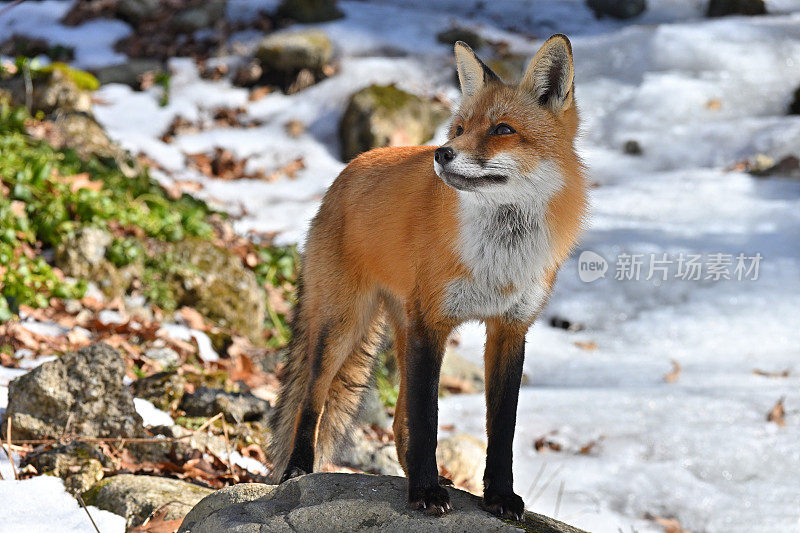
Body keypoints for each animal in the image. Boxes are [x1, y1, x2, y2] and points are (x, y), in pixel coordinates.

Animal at [268, 34, 588, 520]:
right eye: (458, 130)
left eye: (502, 130)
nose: (442, 153)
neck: (499, 258)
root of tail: (350, 167)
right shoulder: (430, 324)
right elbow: (427, 421)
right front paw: (423, 491)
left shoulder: (510, 329)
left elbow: (501, 430)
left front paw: (499, 496)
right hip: (342, 326)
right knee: (312, 397)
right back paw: (298, 469)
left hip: (397, 330)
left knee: (398, 419)